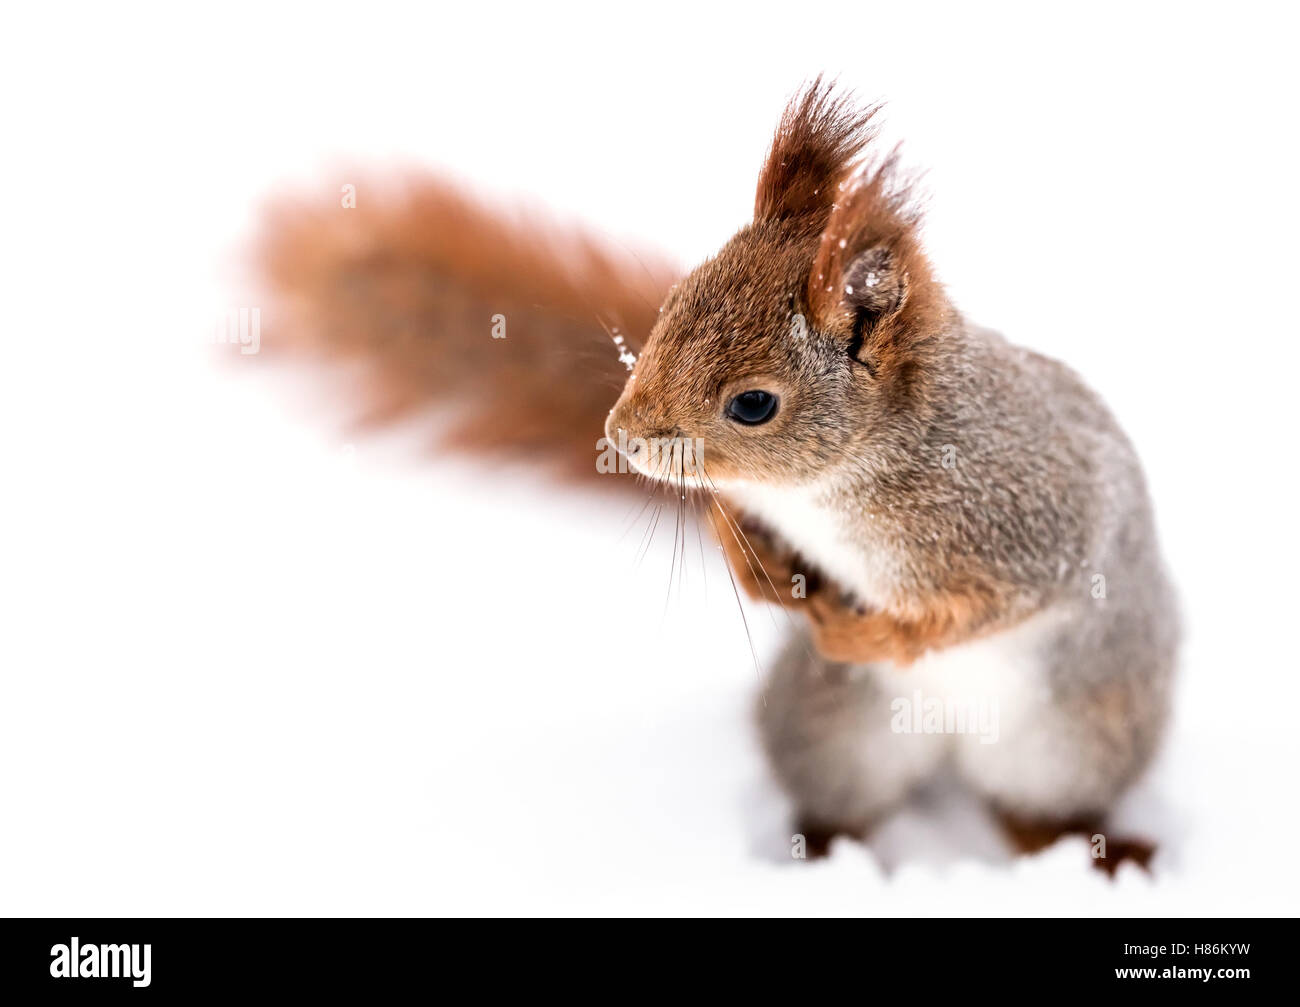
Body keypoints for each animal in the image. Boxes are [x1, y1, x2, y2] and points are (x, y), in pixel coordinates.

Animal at [256, 79, 1178, 874]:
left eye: (753, 404)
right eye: (672, 305)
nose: (620, 436)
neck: (835, 484)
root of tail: (950, 752)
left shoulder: (1019, 519)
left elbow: (976, 607)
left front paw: (871, 635)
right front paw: (759, 570)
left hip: (1076, 743)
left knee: (1036, 817)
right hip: (827, 730)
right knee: (840, 803)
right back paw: (814, 854)